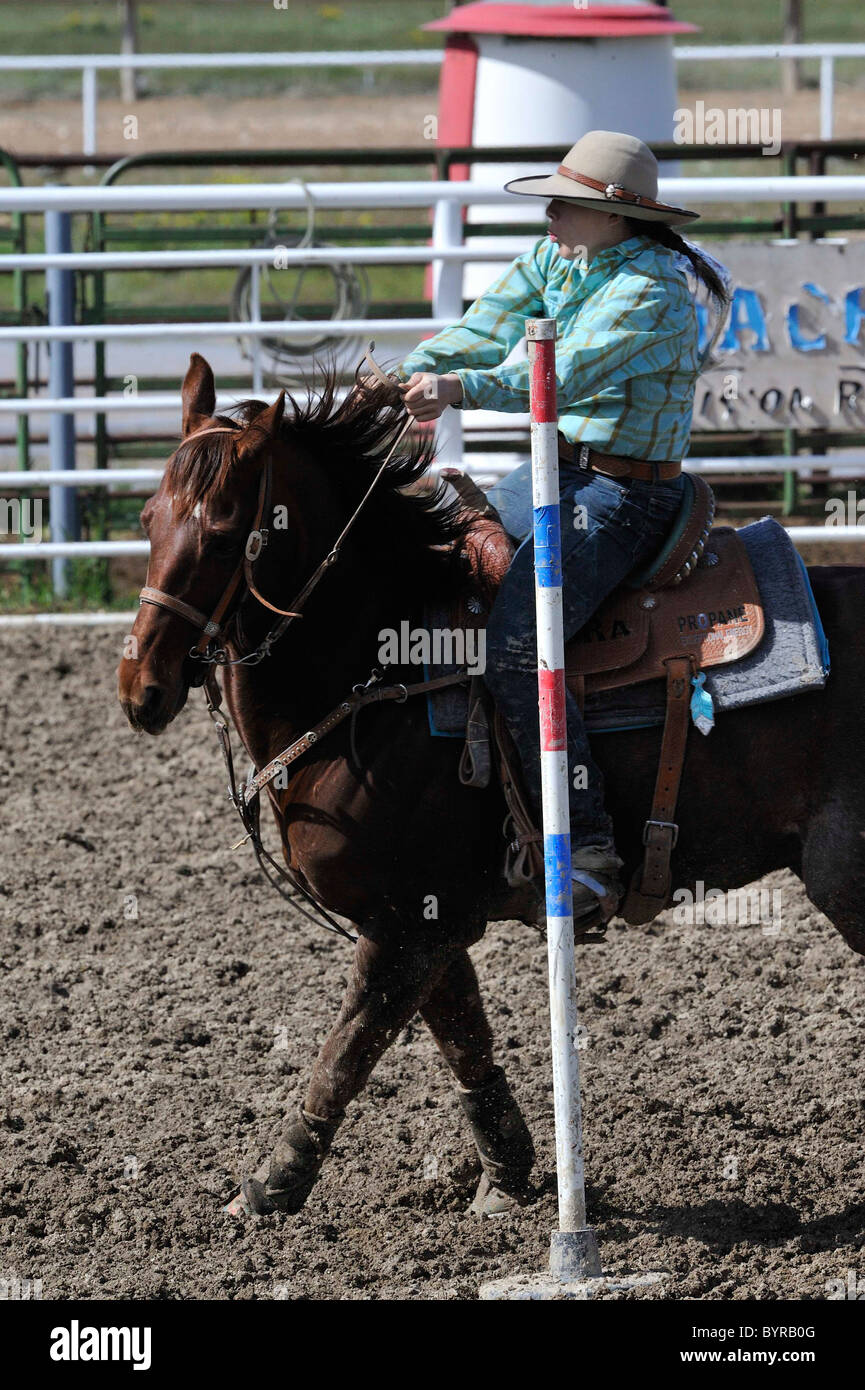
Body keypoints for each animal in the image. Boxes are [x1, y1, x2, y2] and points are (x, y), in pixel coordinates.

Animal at [118, 352, 865, 1218]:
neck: (382, 670)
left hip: (846, 879)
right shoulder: (424, 917)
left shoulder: (407, 923)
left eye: (226, 530)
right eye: (148, 517)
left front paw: (271, 1185)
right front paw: (505, 1175)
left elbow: (347, 1050)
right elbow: (461, 1037)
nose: (141, 688)